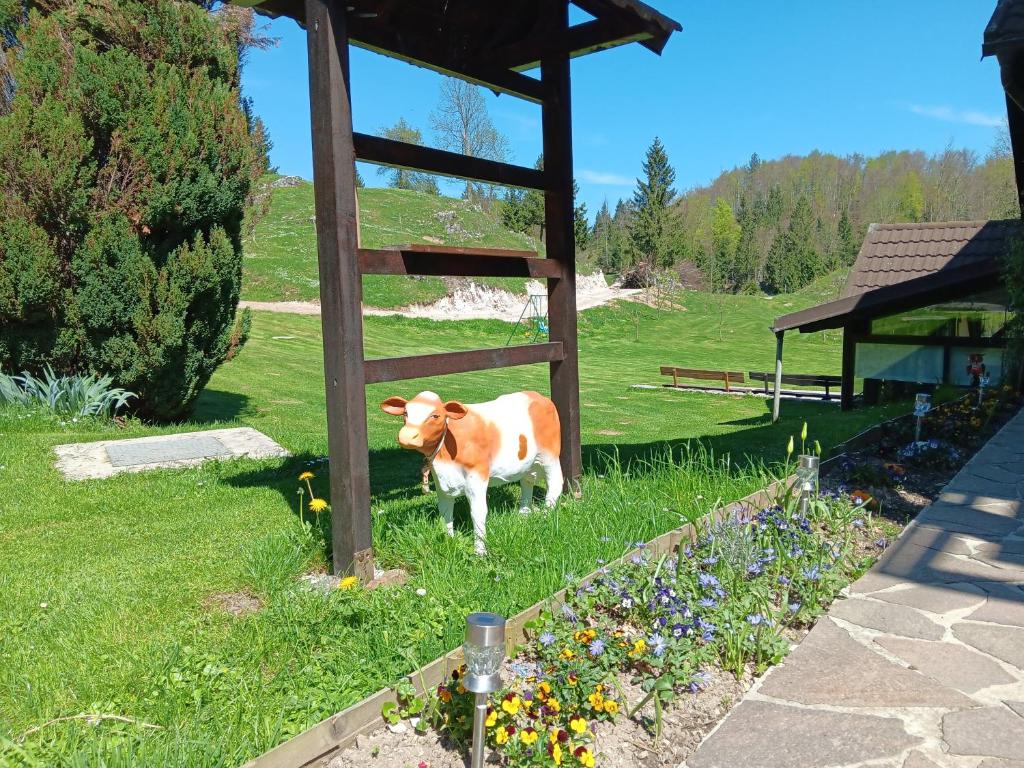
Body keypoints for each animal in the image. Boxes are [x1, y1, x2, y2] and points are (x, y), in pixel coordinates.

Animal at [382, 391, 565, 552]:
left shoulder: (477, 476)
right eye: (406, 413)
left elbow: (478, 512)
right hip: (527, 463)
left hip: (550, 456)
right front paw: (449, 540)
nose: (407, 436)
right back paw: (523, 515)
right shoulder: (441, 482)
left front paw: (480, 551)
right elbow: (445, 509)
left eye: (435, 416)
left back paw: (544, 517)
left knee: (556, 484)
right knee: (527, 482)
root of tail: (540, 397)